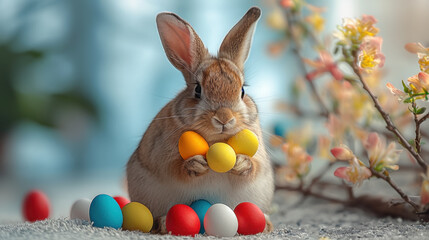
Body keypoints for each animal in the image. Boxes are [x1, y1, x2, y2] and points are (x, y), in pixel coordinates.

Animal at [127, 6, 274, 233]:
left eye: (242, 91)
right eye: (197, 90)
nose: (224, 118)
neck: (215, 139)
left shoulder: (260, 159)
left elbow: (254, 167)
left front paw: (241, 163)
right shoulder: (162, 158)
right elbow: (174, 168)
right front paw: (196, 164)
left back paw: (266, 223)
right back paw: (163, 223)